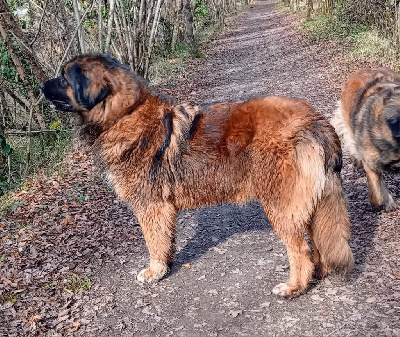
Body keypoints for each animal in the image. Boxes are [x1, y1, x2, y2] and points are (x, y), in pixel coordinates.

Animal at [40, 54, 354, 296]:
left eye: (64, 78)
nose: (41, 86)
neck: (123, 114)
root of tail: (314, 120)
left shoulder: (150, 206)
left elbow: (153, 241)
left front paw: (155, 270)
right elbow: (165, 239)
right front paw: (166, 264)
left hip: (280, 206)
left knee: (301, 251)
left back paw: (293, 288)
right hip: (311, 203)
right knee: (318, 244)